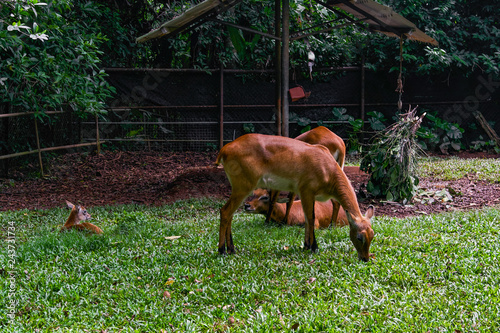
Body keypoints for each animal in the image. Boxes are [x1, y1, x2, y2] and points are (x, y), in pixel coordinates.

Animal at [216, 134, 376, 260]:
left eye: (372, 235)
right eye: (359, 237)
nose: (365, 258)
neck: (328, 169)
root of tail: (225, 149)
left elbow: (306, 218)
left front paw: (305, 246)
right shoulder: (307, 191)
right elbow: (310, 218)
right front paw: (314, 247)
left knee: (230, 214)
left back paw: (232, 249)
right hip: (243, 187)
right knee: (225, 211)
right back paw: (222, 250)